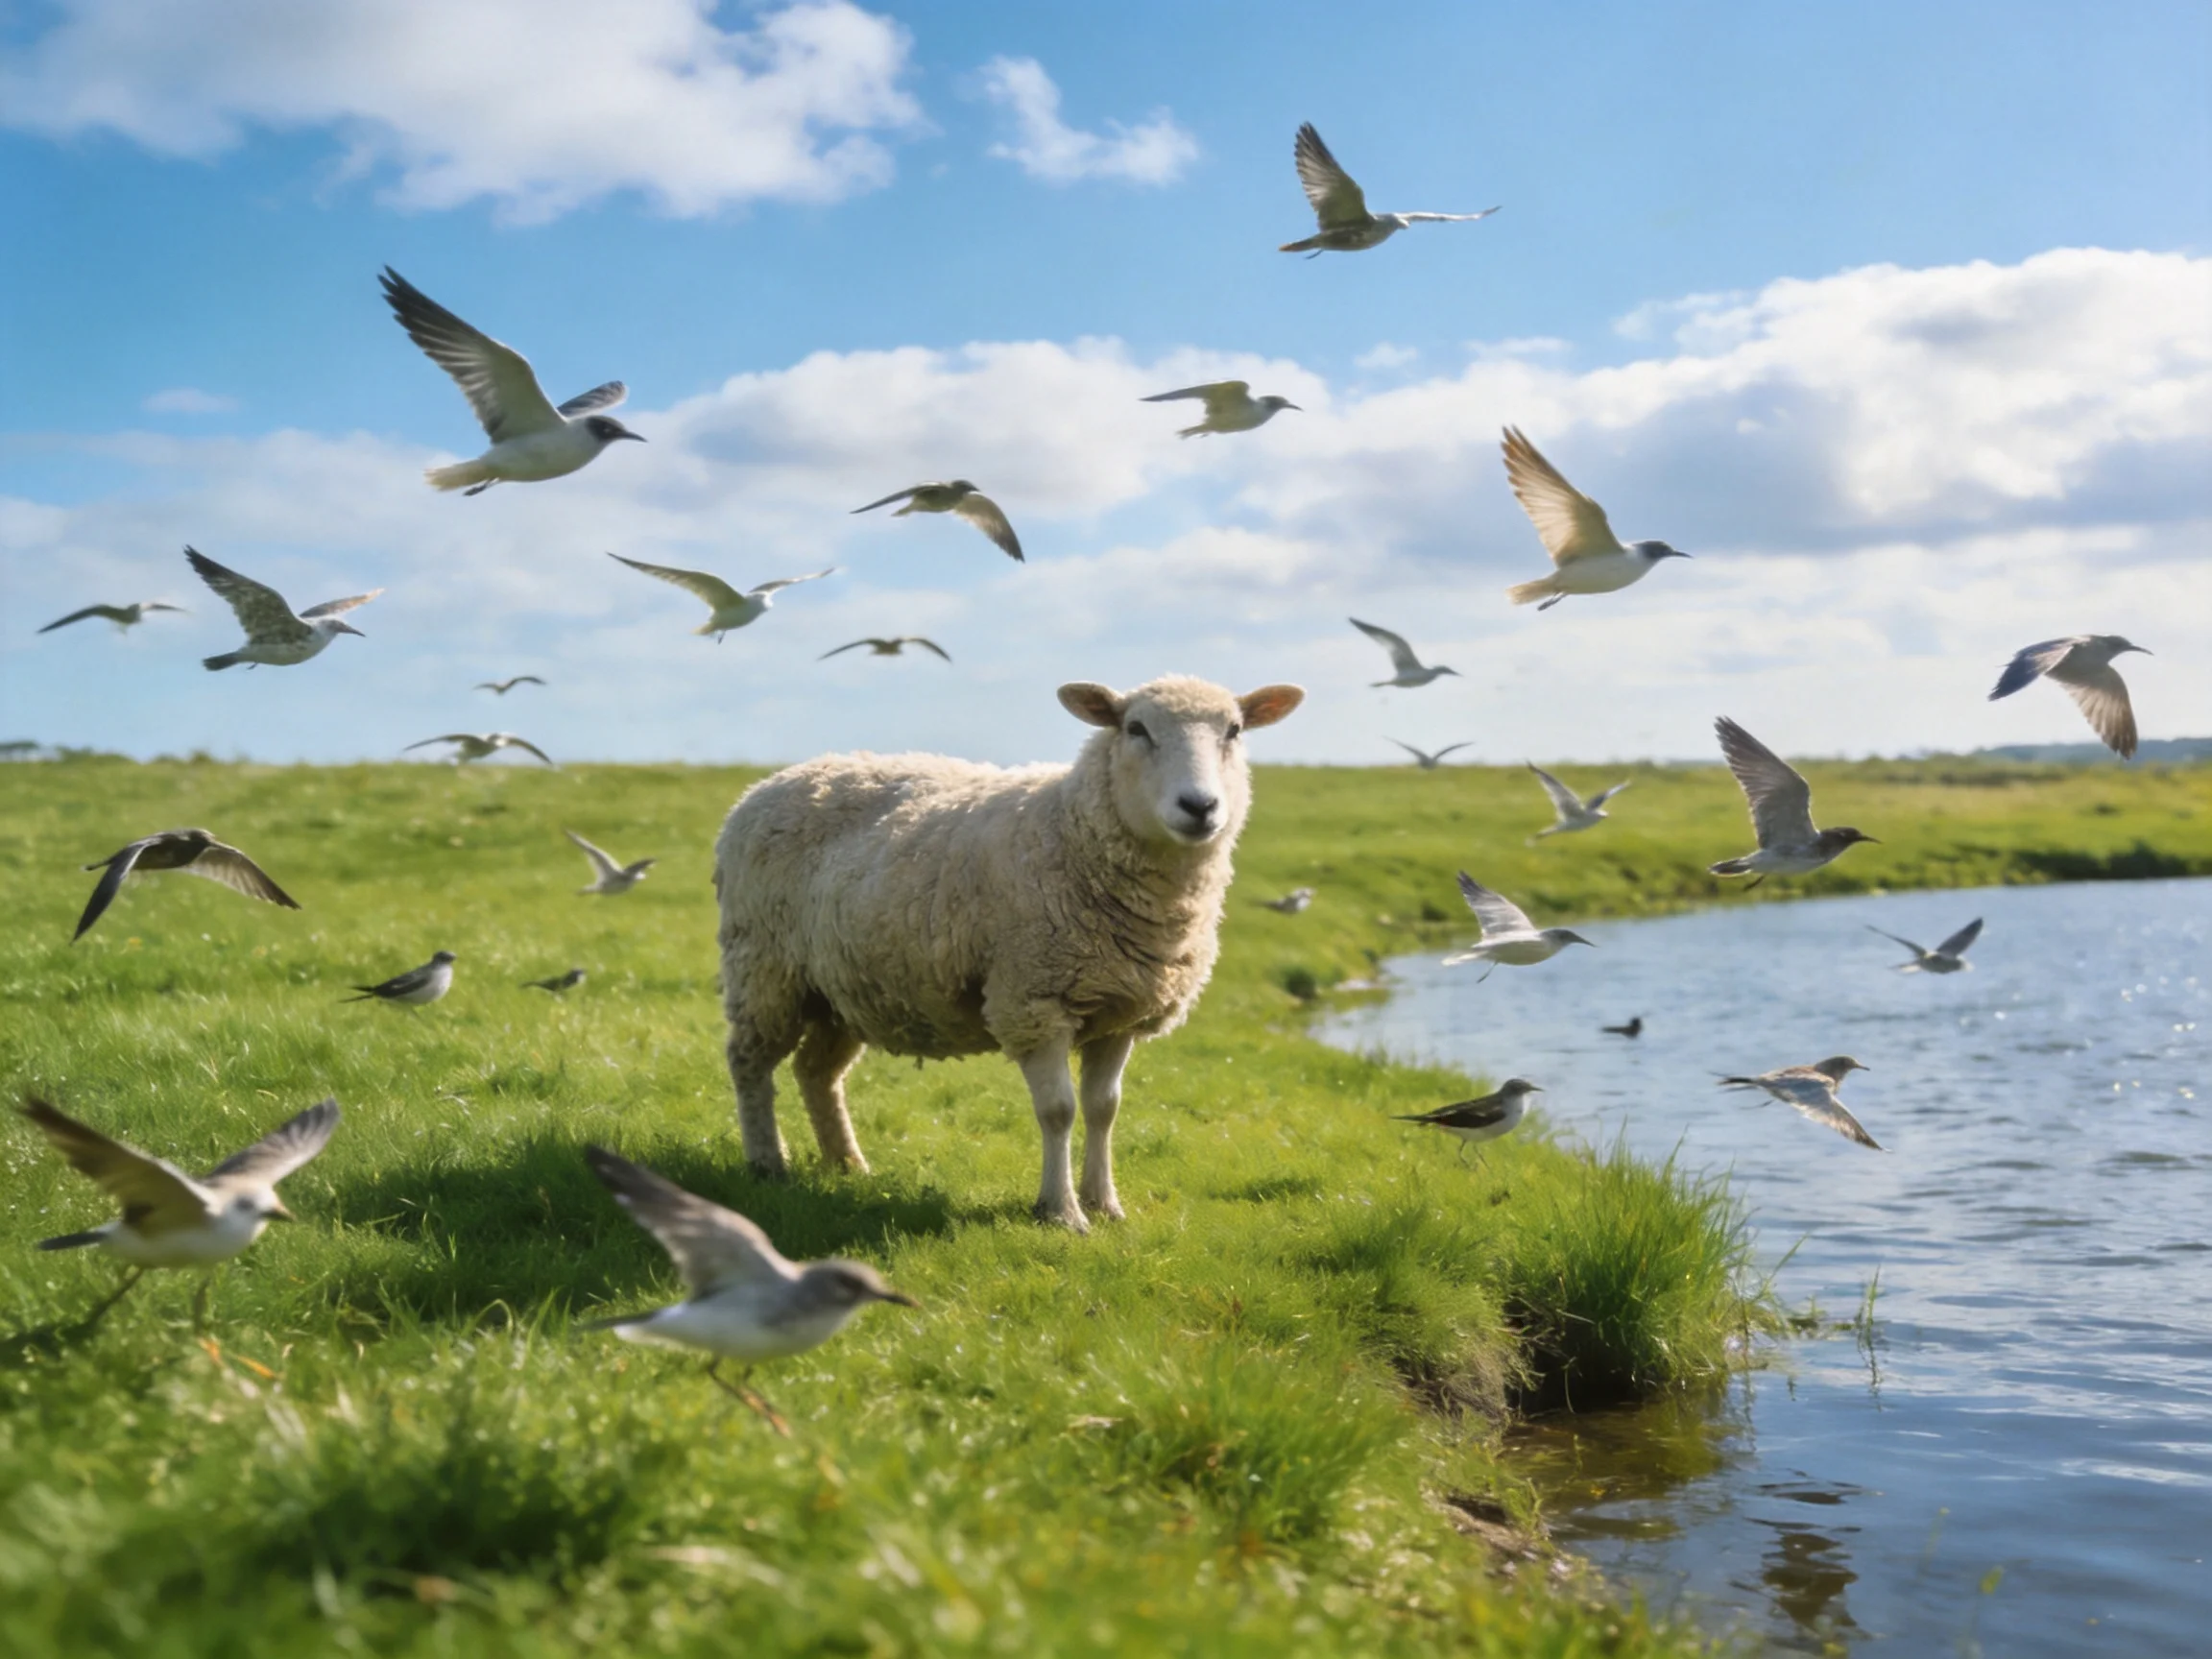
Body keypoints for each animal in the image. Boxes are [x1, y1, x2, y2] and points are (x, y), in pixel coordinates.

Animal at [712, 674, 1304, 1231]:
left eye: (1234, 730)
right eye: (1136, 729)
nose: (1200, 807)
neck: (1073, 834)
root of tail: (772, 782)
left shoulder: (1120, 1012)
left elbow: (1104, 1109)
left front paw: (1105, 1204)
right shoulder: (1033, 1002)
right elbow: (1059, 1111)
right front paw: (1061, 1211)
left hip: (844, 987)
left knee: (817, 1071)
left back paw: (847, 1164)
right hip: (764, 967)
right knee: (749, 1062)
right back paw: (768, 1162)